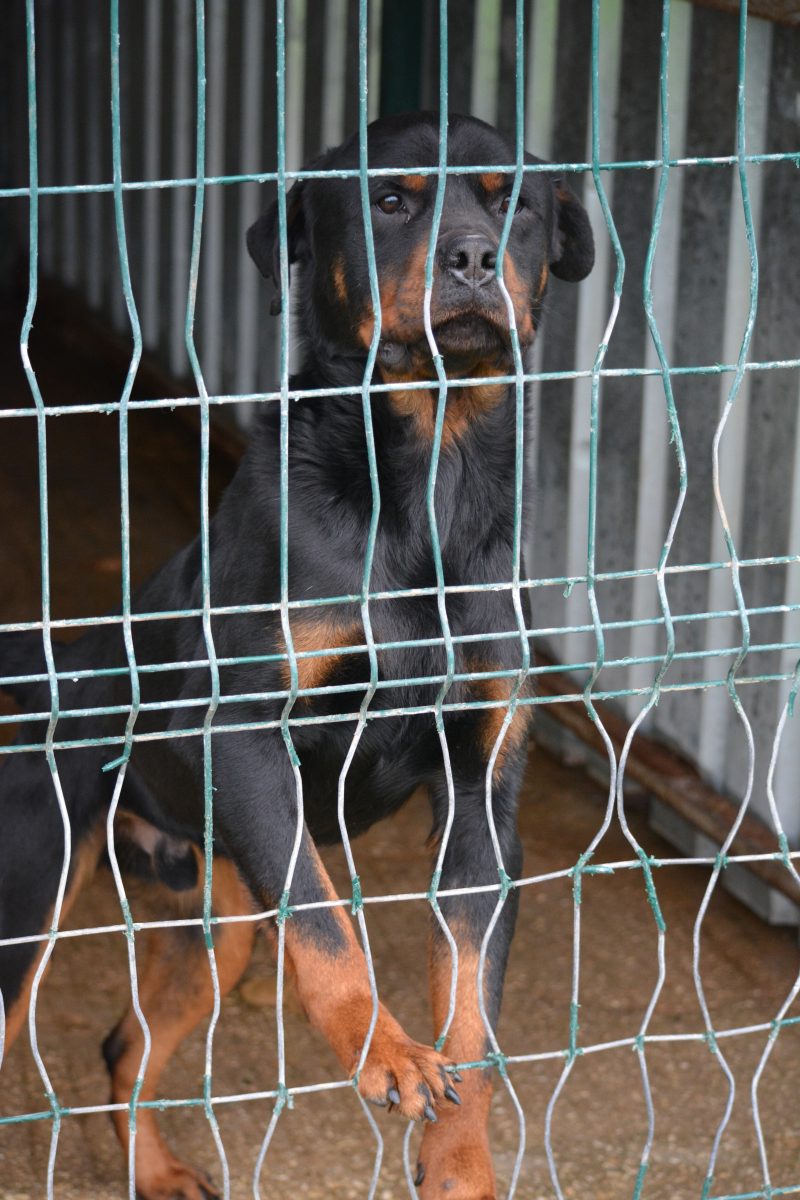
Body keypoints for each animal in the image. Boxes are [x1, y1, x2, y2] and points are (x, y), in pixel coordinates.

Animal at [0, 112, 593, 1200]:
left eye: (516, 205)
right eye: (389, 200)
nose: (473, 260)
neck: (428, 469)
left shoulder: (481, 805)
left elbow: (473, 1016)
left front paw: (458, 1163)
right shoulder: (246, 736)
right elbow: (326, 926)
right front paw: (385, 1050)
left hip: (221, 909)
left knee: (126, 1046)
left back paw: (156, 1170)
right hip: (34, 886)